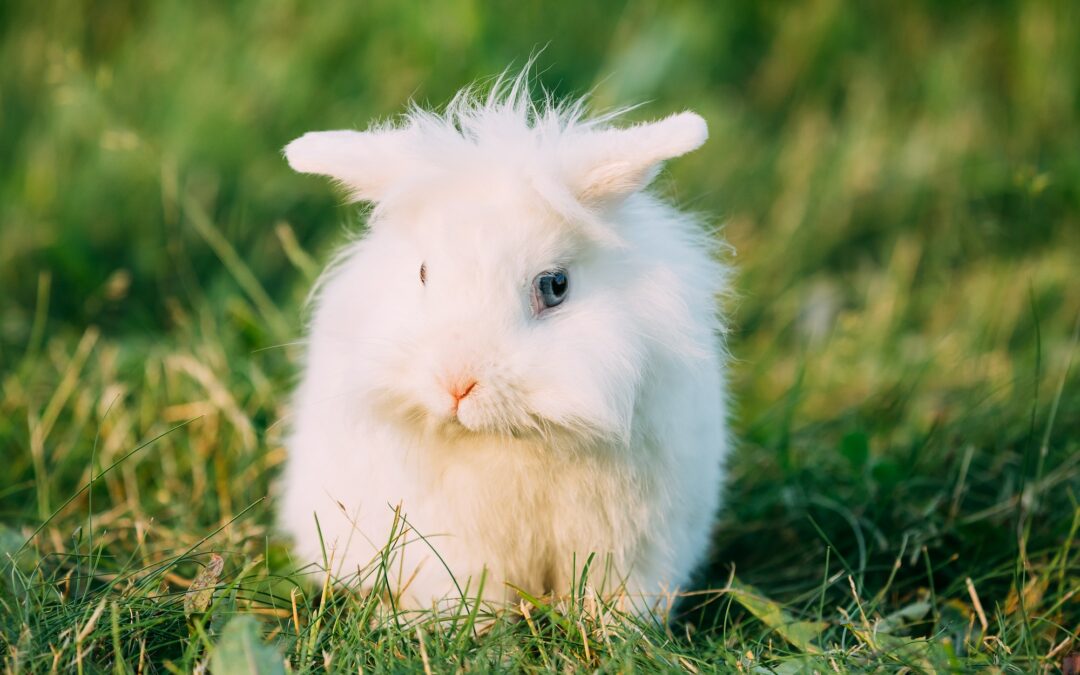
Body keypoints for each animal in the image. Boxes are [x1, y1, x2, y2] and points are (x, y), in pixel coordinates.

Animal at [280, 73, 734, 617]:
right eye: (423, 273)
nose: (456, 383)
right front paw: (469, 629)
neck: (516, 436)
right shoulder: (451, 546)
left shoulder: (632, 544)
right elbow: (467, 593)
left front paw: (614, 629)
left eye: (555, 285)